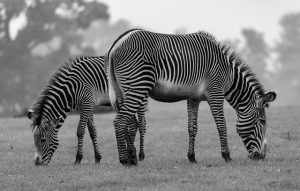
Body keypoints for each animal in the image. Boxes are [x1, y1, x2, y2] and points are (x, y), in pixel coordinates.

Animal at [107, 29, 276, 165]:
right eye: (262, 121)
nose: (261, 156)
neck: (227, 73)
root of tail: (116, 44)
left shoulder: (193, 98)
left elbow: (192, 128)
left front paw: (192, 157)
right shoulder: (215, 93)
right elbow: (222, 125)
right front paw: (227, 156)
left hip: (123, 91)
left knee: (129, 123)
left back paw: (132, 158)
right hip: (138, 86)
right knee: (120, 121)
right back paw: (124, 160)